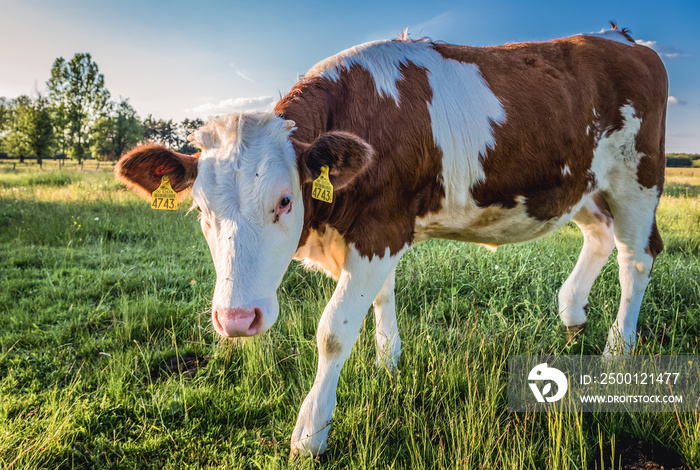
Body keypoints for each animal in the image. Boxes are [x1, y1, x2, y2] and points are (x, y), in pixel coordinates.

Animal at [115, 24, 668, 456]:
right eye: (201, 211)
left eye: (285, 201)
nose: (235, 319)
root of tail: (624, 40)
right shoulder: (374, 236)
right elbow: (381, 296)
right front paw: (388, 362)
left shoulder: (380, 228)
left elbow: (334, 330)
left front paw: (311, 432)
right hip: (582, 186)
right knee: (600, 237)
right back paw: (572, 313)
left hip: (637, 177)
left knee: (636, 258)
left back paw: (617, 350)